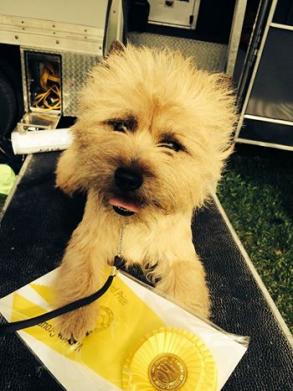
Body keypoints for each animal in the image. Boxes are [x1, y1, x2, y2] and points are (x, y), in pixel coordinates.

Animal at [54, 43, 235, 344]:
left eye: (172, 144)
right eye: (120, 125)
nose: (128, 177)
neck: (134, 222)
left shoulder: (180, 258)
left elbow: (185, 294)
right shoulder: (88, 242)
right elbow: (80, 277)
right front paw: (75, 318)